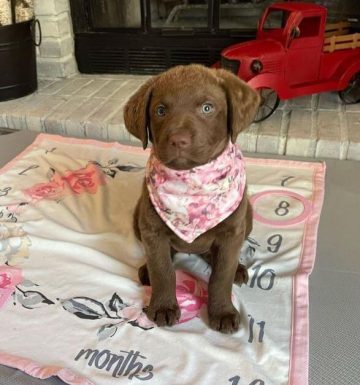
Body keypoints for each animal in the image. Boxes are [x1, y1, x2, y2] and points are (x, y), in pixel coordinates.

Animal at [124, 64, 258, 332]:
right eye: (160, 110)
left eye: (207, 108)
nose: (178, 140)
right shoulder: (152, 230)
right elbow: (163, 269)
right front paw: (163, 306)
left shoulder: (232, 232)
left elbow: (222, 275)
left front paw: (222, 311)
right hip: (138, 217)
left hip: (246, 217)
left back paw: (237, 267)